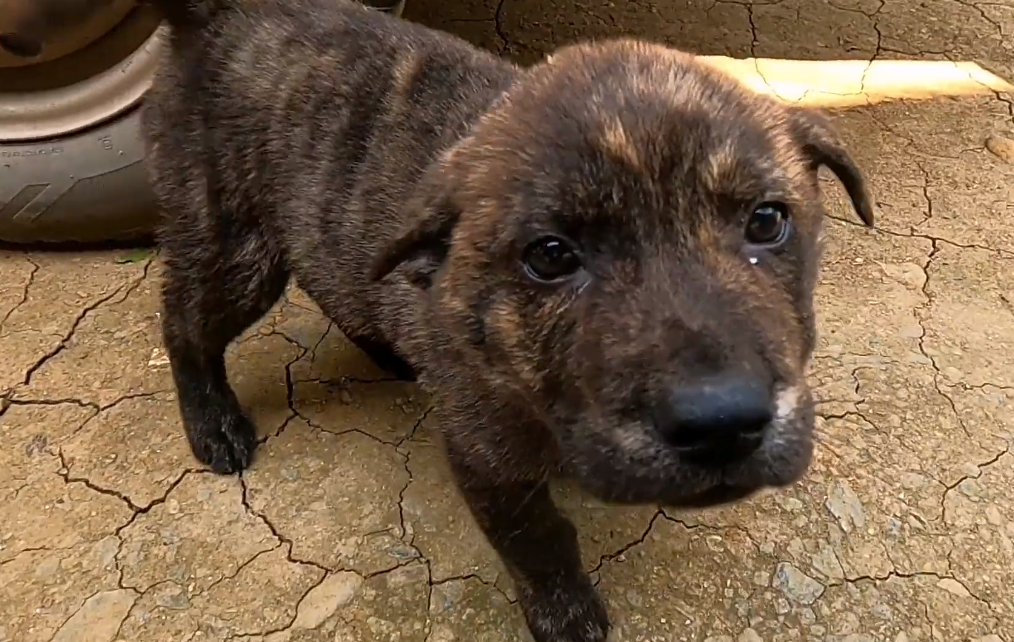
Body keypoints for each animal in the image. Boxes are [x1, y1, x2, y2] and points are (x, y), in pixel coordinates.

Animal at [140, 2, 872, 636]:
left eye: (767, 221)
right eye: (550, 256)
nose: (721, 422)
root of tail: (220, 13)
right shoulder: (485, 453)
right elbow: (536, 540)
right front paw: (565, 614)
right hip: (236, 246)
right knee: (184, 323)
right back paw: (213, 424)